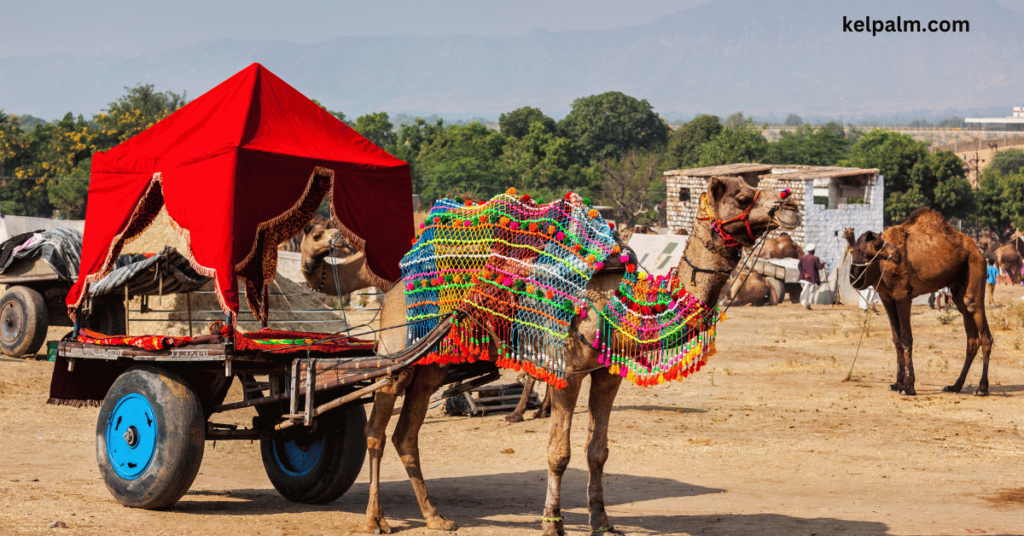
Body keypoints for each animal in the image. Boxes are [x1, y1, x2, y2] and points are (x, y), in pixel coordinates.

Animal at [360, 177, 798, 536]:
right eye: (741, 196)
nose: (791, 205)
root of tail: (394, 287)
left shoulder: (607, 373)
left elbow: (597, 451)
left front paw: (602, 522)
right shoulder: (568, 371)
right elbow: (559, 453)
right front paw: (552, 523)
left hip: (432, 367)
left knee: (405, 435)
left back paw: (435, 518)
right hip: (396, 354)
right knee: (376, 431)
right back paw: (375, 520)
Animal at [847, 208, 991, 395]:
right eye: (878, 245)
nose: (898, 254)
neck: (878, 267)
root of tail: (978, 250)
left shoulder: (902, 294)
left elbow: (906, 339)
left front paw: (909, 387)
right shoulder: (887, 298)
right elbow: (896, 339)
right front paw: (897, 384)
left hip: (975, 266)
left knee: (981, 326)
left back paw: (982, 388)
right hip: (959, 287)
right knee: (971, 338)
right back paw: (955, 386)